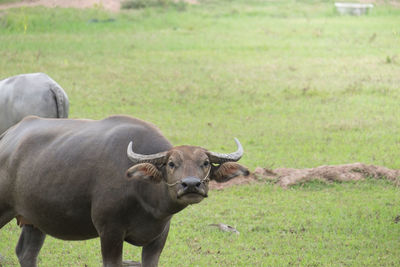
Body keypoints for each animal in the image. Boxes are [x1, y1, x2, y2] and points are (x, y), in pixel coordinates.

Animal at [0, 115, 248, 267]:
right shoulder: (110, 231)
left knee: (26, 253)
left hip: (35, 219)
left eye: (205, 163)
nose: (191, 184)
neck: (145, 197)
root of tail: (8, 137)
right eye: (171, 163)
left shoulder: (158, 237)